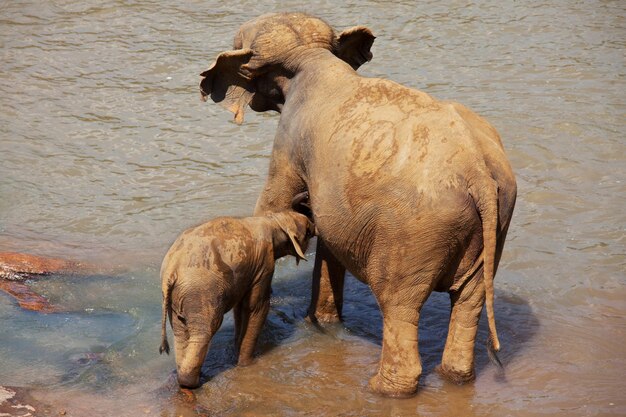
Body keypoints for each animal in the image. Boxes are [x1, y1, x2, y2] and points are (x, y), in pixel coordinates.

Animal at [156, 208, 312, 386]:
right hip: (200, 291)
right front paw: (246, 364)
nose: (315, 229)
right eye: (308, 231)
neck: (273, 220)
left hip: (177, 297)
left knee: (180, 331)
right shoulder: (264, 264)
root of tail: (172, 269)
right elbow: (256, 308)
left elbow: (240, 308)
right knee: (206, 329)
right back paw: (194, 382)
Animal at [197, 13, 516, 396]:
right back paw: (454, 377)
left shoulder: (289, 140)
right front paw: (320, 322)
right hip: (495, 222)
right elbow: (328, 240)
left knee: (399, 304)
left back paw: (380, 389)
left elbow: (274, 204)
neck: (315, 58)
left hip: (414, 234)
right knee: (469, 300)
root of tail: (478, 172)